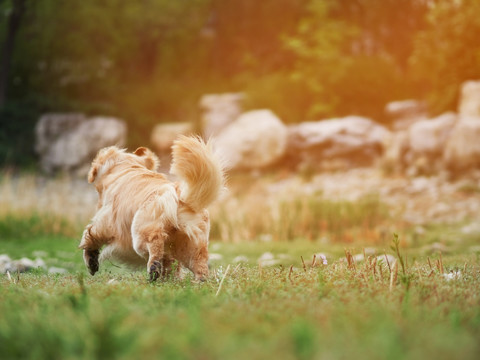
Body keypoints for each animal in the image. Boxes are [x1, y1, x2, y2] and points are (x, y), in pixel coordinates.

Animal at [78, 135, 225, 282]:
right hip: (191, 246)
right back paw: (195, 281)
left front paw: (91, 262)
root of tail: (180, 195)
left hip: (140, 234)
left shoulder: (106, 223)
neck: (126, 167)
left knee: (155, 244)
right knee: (198, 266)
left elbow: (89, 235)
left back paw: (154, 268)